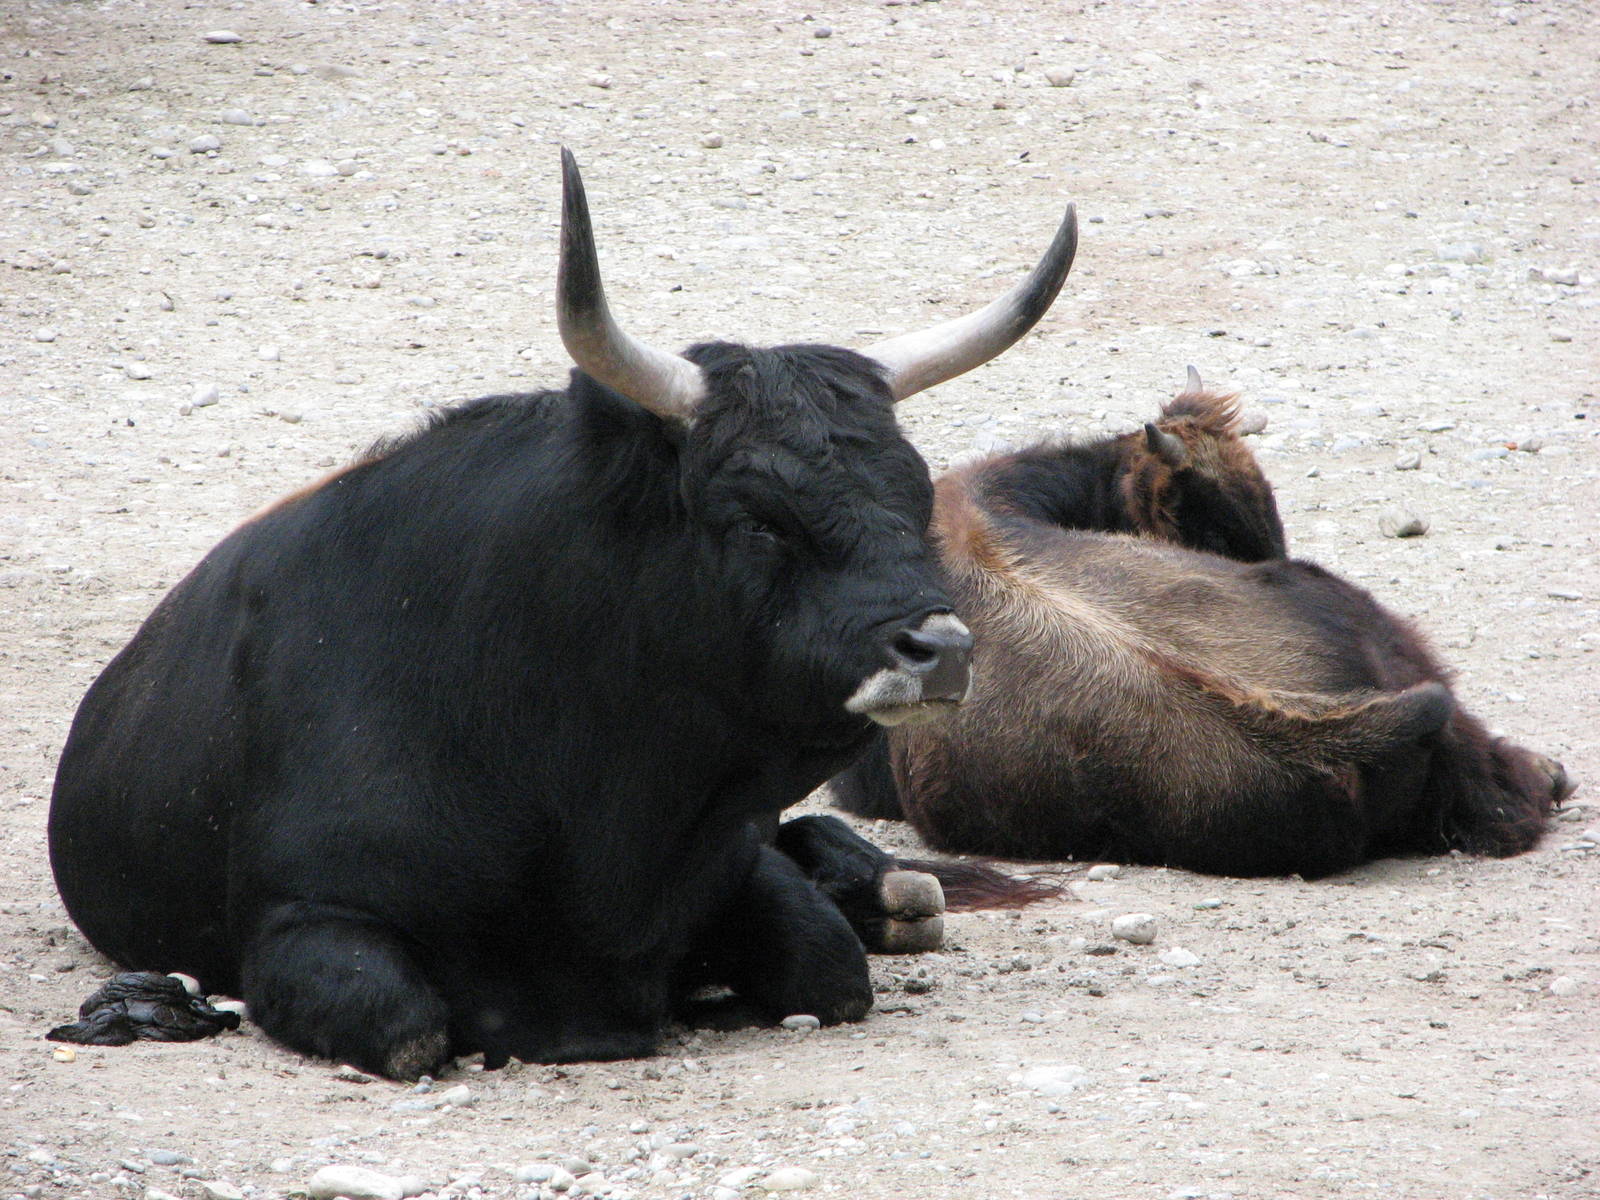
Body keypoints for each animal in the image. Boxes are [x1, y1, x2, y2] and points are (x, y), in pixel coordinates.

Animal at [47, 150, 1079, 1079]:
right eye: (756, 516)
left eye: (915, 496)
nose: (940, 648)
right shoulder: (307, 918)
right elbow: (407, 1027)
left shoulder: (726, 862)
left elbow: (828, 970)